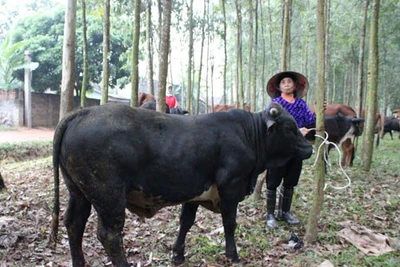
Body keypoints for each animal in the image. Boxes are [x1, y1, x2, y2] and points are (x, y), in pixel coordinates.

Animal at [49, 103, 312, 267]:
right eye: (289, 128)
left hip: (79, 192)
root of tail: (82, 113)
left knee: (74, 224)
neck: (249, 134)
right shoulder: (230, 187)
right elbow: (230, 224)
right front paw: (233, 255)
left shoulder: (195, 194)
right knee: (109, 234)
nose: (309, 148)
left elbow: (186, 222)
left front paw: (177, 254)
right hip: (109, 197)